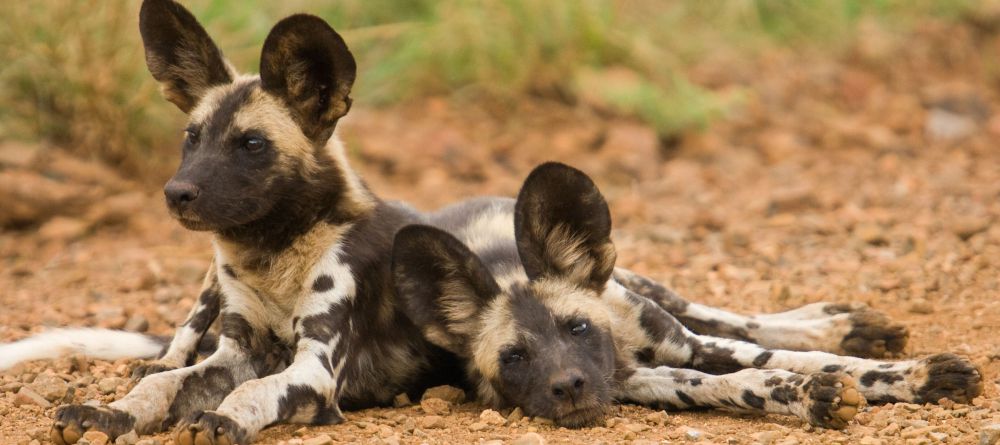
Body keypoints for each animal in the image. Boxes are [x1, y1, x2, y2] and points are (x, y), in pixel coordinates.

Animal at [386, 162, 980, 426]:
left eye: (578, 328)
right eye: (514, 358)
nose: (569, 387)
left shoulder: (689, 346)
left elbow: (803, 360)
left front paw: (916, 376)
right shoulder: (640, 382)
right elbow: (744, 383)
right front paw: (810, 395)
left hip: (647, 292)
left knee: (730, 318)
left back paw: (849, 325)